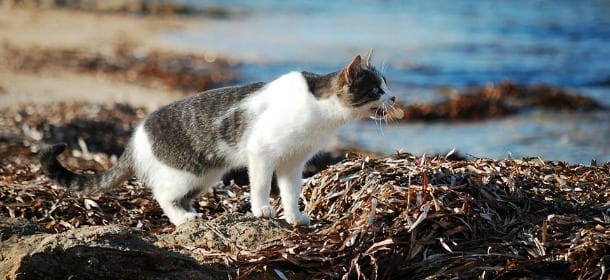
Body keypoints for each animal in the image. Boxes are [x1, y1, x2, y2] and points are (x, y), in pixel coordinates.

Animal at [41, 52, 394, 226]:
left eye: (386, 84)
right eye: (377, 88)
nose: (393, 98)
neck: (321, 111)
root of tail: (137, 135)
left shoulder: (292, 162)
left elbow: (291, 193)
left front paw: (294, 218)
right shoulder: (262, 153)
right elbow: (261, 186)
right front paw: (262, 210)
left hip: (206, 175)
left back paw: (192, 213)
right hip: (186, 172)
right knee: (162, 195)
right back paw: (183, 219)